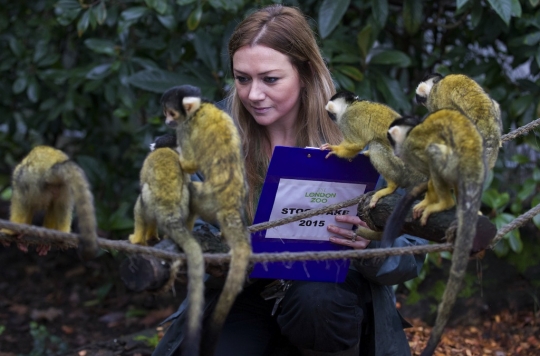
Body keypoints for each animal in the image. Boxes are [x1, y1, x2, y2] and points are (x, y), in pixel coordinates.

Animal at [127, 147, 204, 356]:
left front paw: (146, 236)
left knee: (141, 202)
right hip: (182, 201)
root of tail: (167, 206)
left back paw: (138, 238)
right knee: (190, 193)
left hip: (150, 199)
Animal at [161, 84, 252, 356]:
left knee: (192, 191)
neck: (200, 107)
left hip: (208, 201)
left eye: (171, 113)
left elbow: (189, 163)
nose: (167, 121)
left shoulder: (185, 128)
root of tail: (231, 205)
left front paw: (165, 143)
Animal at [382, 109, 488, 356]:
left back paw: (445, 203)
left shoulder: (412, 148)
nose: (395, 151)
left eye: (391, 140)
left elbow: (428, 168)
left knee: (434, 153)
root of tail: (473, 163)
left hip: (454, 163)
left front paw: (429, 201)